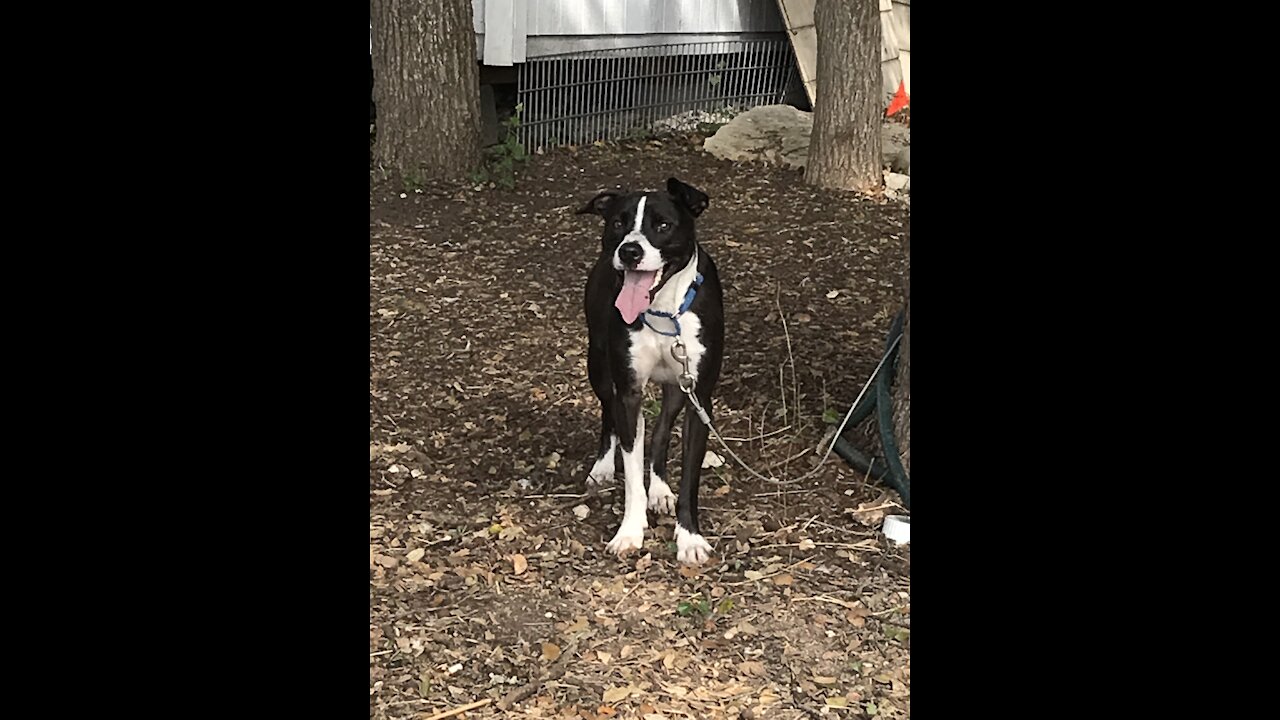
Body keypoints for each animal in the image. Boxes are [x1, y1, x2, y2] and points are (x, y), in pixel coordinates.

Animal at [578, 176, 727, 563]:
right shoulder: (629, 391)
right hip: (598, 365)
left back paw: (659, 489)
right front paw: (630, 531)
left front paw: (689, 538)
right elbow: (632, 468)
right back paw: (603, 467)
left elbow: (689, 476)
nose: (629, 250)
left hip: (677, 387)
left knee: (660, 434)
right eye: (618, 222)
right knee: (609, 414)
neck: (663, 311)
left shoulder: (698, 396)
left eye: (663, 225)